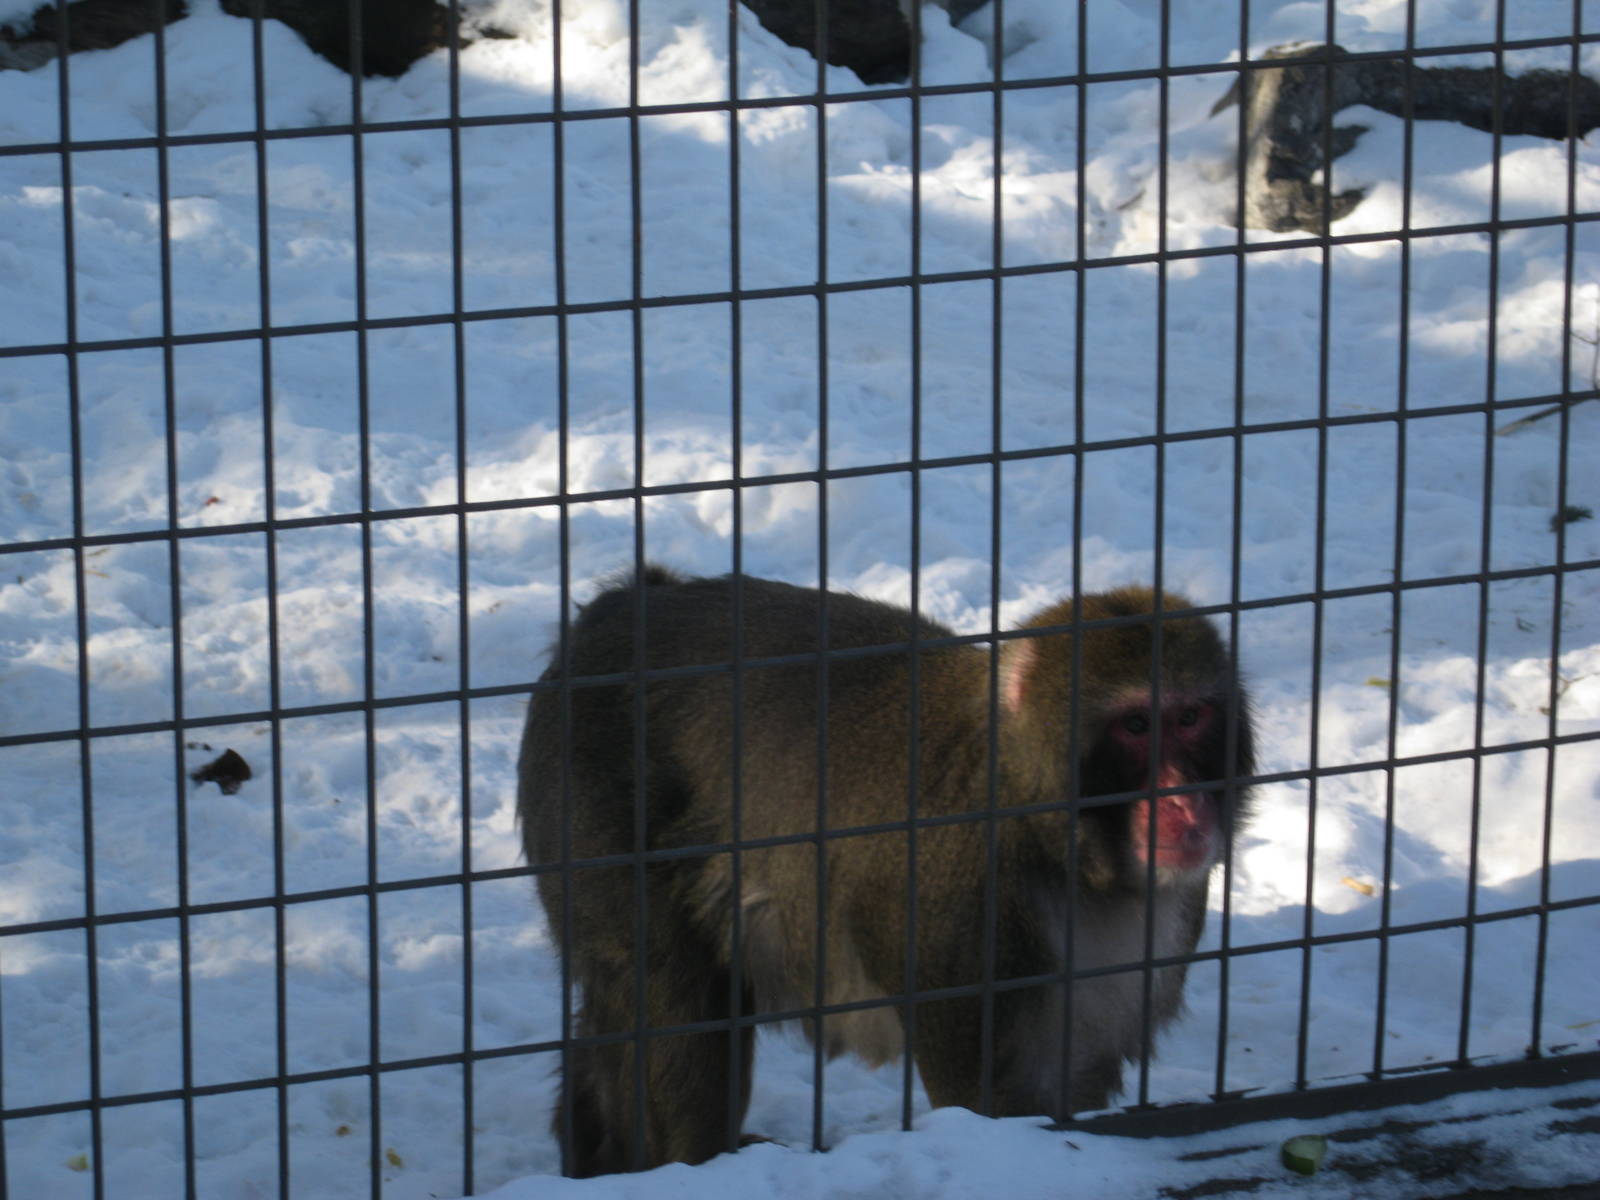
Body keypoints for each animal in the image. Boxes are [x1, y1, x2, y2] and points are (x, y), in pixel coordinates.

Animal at [519, 565, 1255, 1177]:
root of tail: (621, 606)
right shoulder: (957, 910)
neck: (1051, 837)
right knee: (667, 990)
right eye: (1136, 726)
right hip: (587, 799)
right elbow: (985, 1099)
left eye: (1190, 718)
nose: (1183, 800)